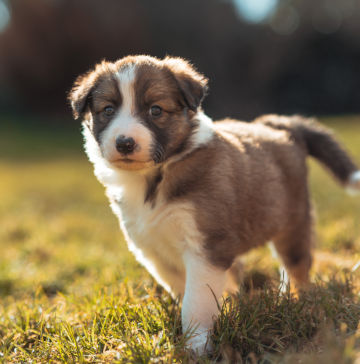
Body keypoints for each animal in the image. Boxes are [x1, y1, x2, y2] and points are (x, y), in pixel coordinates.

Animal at [68, 55, 360, 354]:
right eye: (108, 110)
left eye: (155, 110)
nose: (125, 143)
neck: (154, 177)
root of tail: (280, 125)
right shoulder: (153, 249)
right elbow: (183, 291)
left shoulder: (207, 245)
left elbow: (196, 302)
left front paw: (196, 346)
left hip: (293, 222)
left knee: (297, 267)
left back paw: (295, 302)